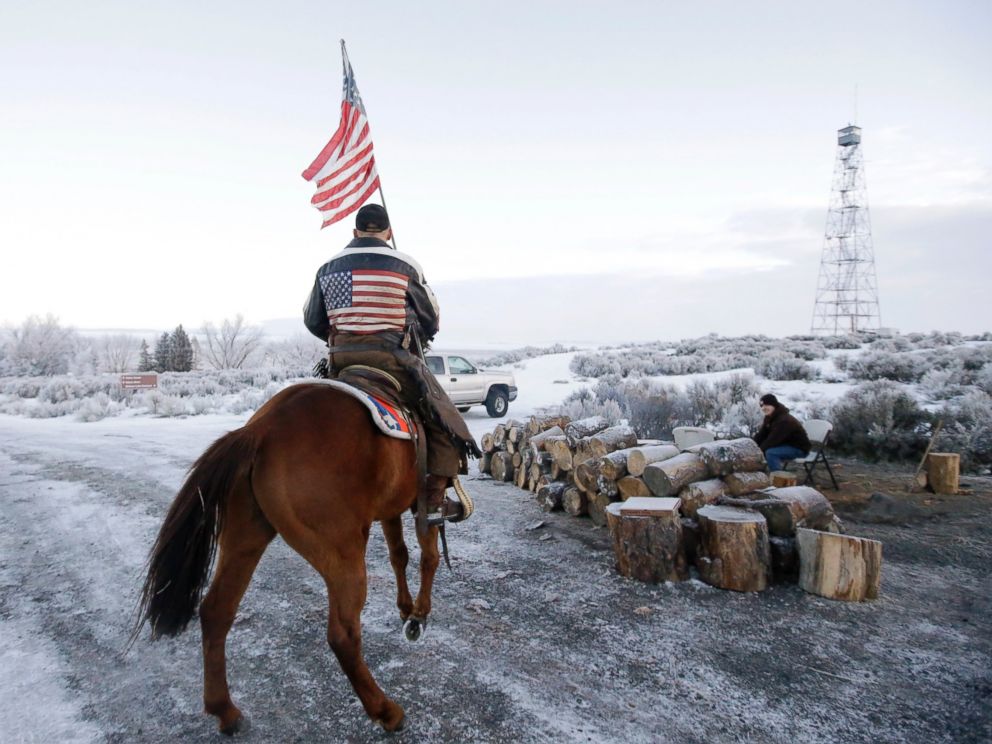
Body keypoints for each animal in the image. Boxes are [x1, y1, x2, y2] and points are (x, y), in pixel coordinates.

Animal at [133, 384, 442, 732]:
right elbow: (428, 556)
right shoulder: (427, 499)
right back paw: (386, 710)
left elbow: (398, 554)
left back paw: (224, 709)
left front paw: (406, 609)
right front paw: (418, 615)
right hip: (343, 553)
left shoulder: (392, 507)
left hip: (244, 537)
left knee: (216, 611)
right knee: (343, 635)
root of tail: (260, 430)